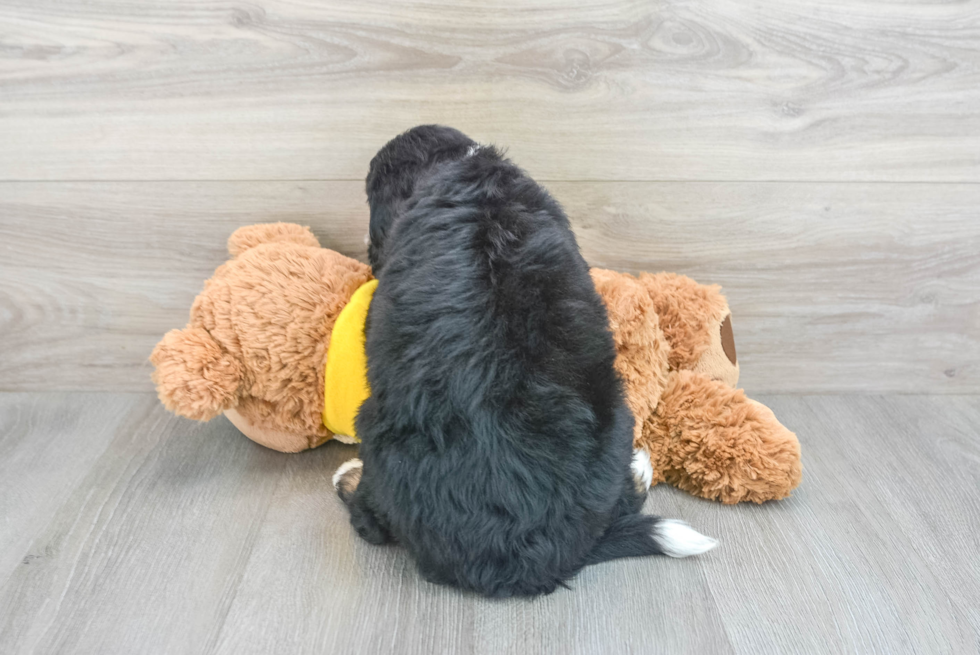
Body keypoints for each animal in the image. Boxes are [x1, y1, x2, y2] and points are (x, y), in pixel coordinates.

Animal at [334, 125, 716, 596]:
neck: (460, 167)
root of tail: (529, 557)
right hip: (618, 413)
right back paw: (639, 469)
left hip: (375, 428)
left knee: (372, 521)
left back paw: (348, 479)